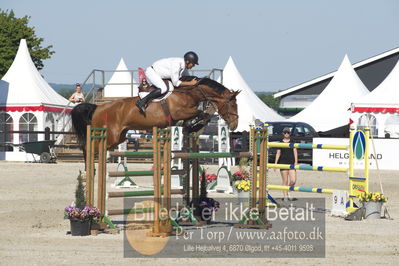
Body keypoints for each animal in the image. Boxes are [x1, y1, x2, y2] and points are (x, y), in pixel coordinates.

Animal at [71, 77, 241, 152]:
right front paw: (191, 125)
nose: (234, 125)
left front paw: (192, 126)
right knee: (89, 147)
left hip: (119, 137)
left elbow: (204, 115)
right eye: (233, 104)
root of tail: (97, 108)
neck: (189, 93)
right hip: (107, 135)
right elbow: (202, 113)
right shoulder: (179, 112)